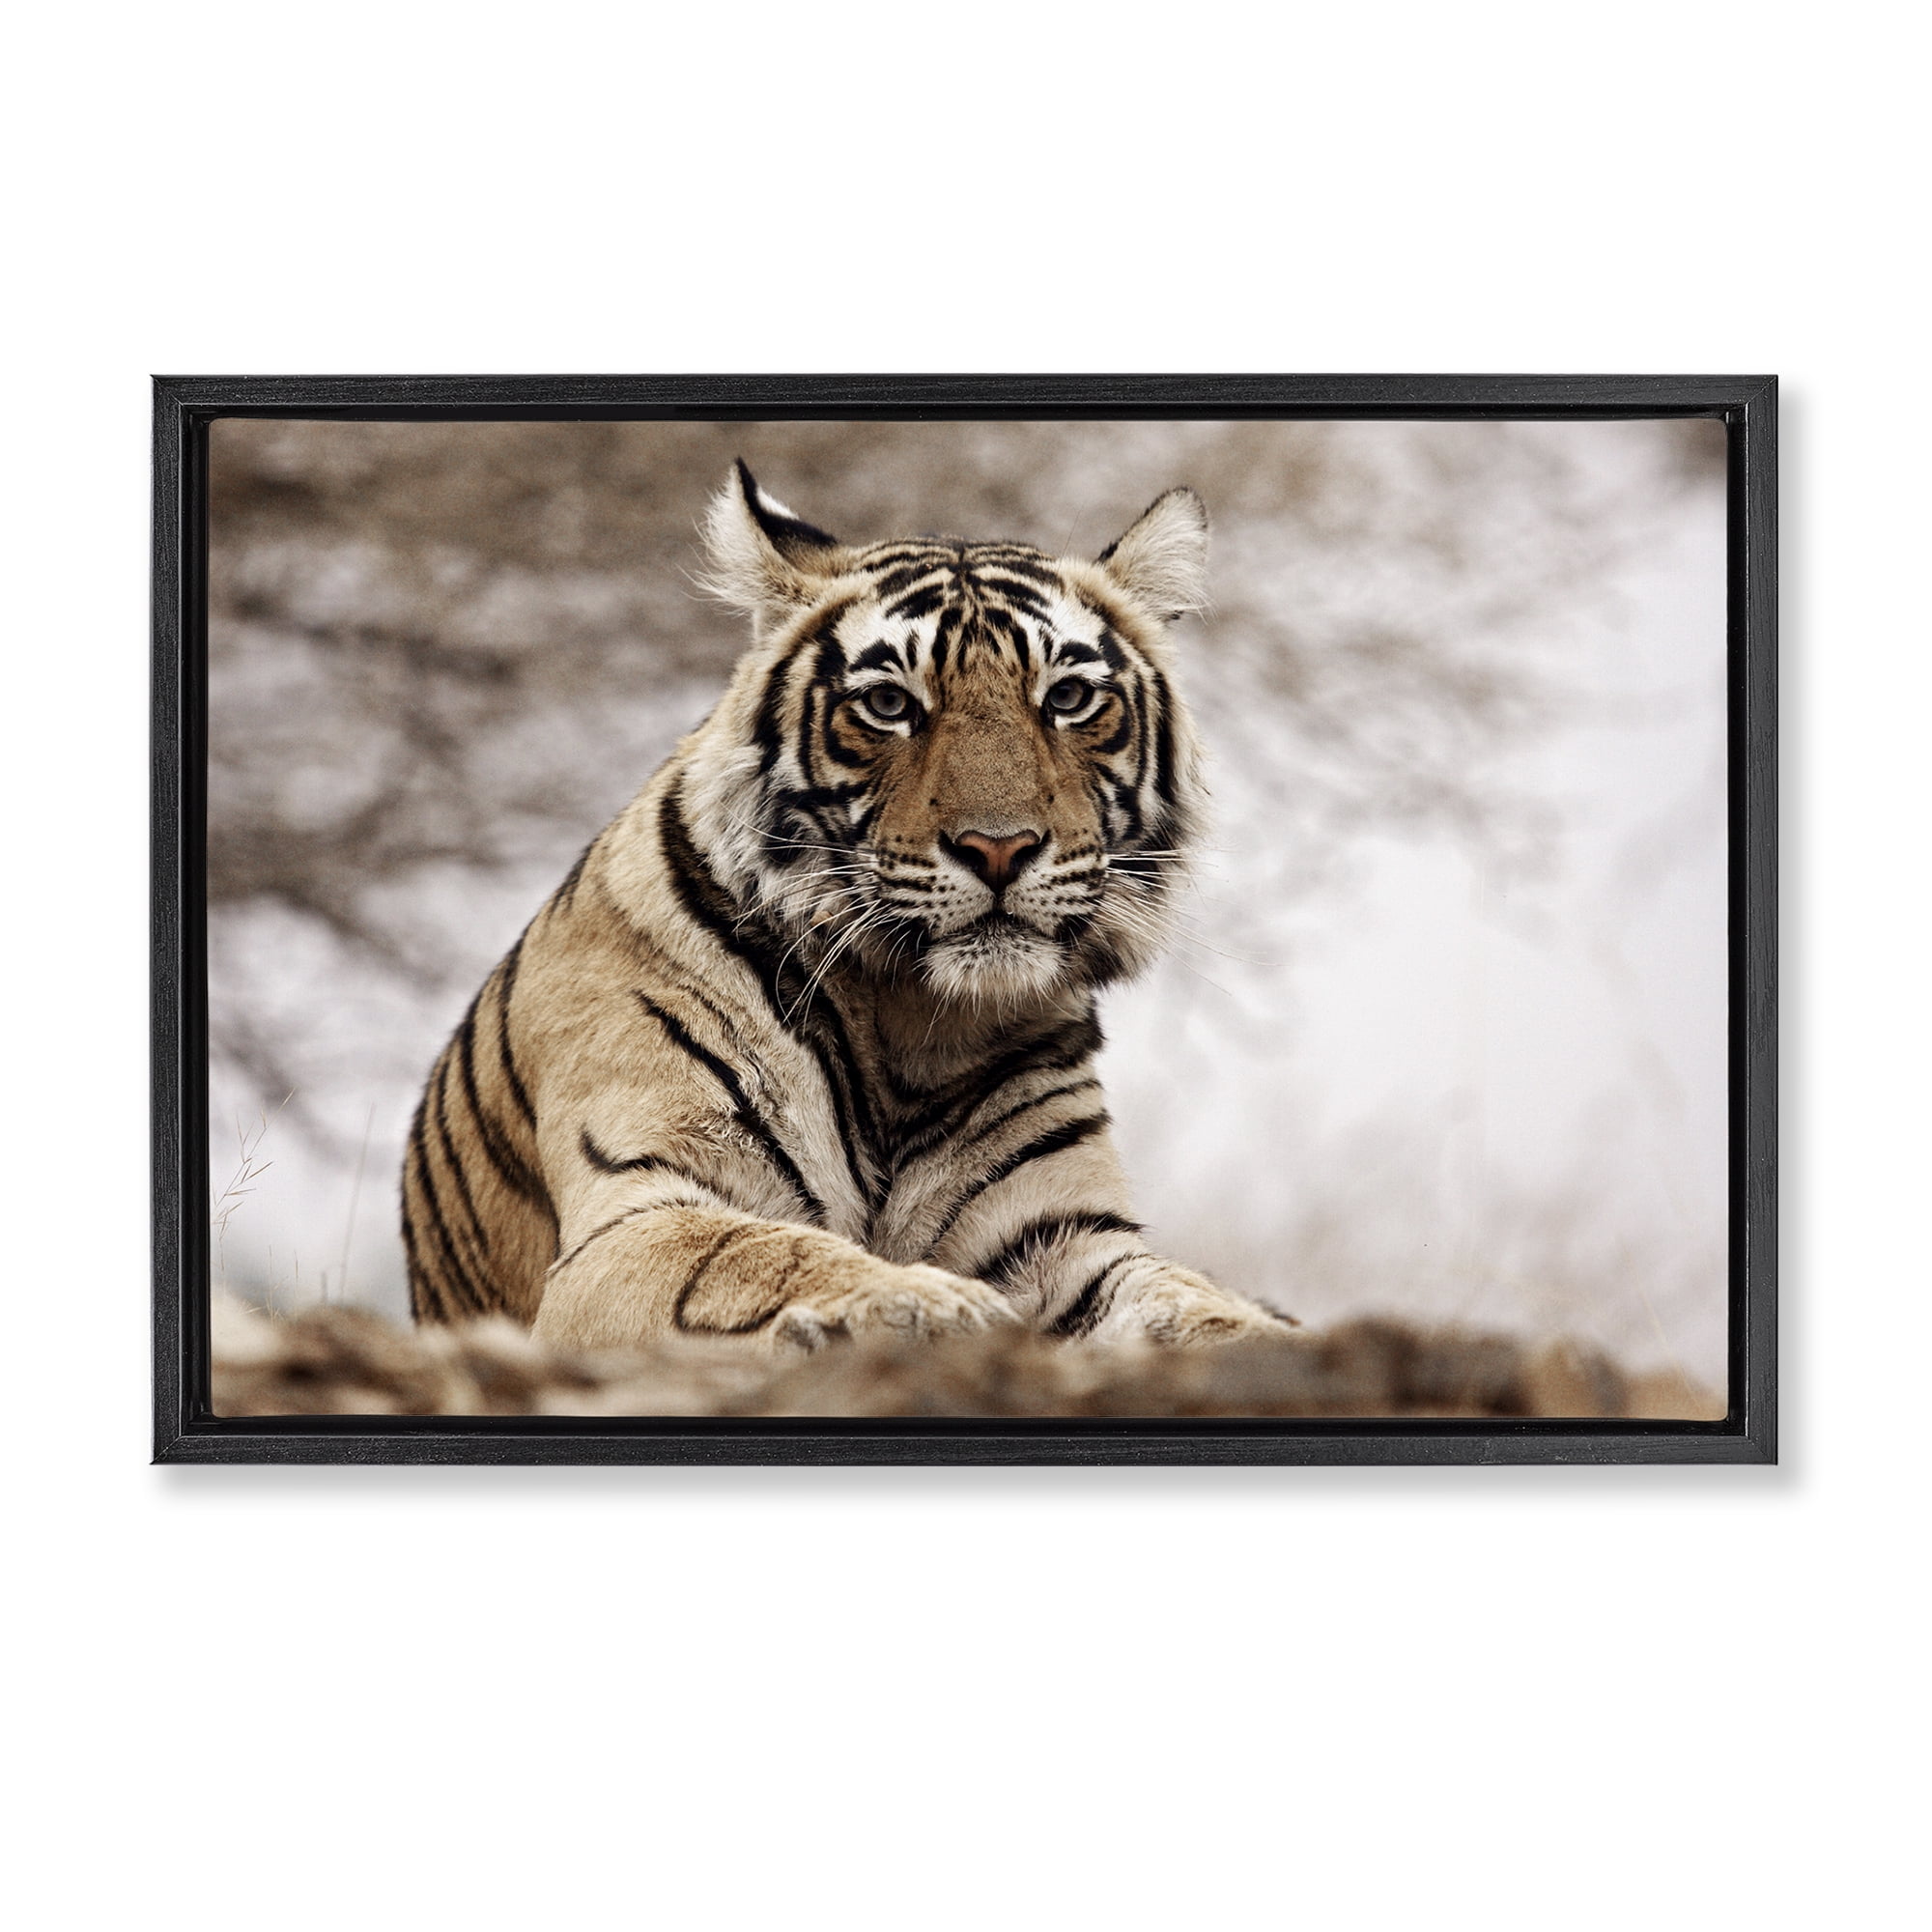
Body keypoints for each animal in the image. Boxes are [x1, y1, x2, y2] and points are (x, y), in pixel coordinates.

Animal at [400, 462, 1290, 1353]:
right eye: (890, 706)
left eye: (1068, 698)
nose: (999, 848)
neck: (914, 1025)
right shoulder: (635, 1213)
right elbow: (764, 1255)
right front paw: (935, 1305)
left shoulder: (1063, 1234)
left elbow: (1186, 1300)